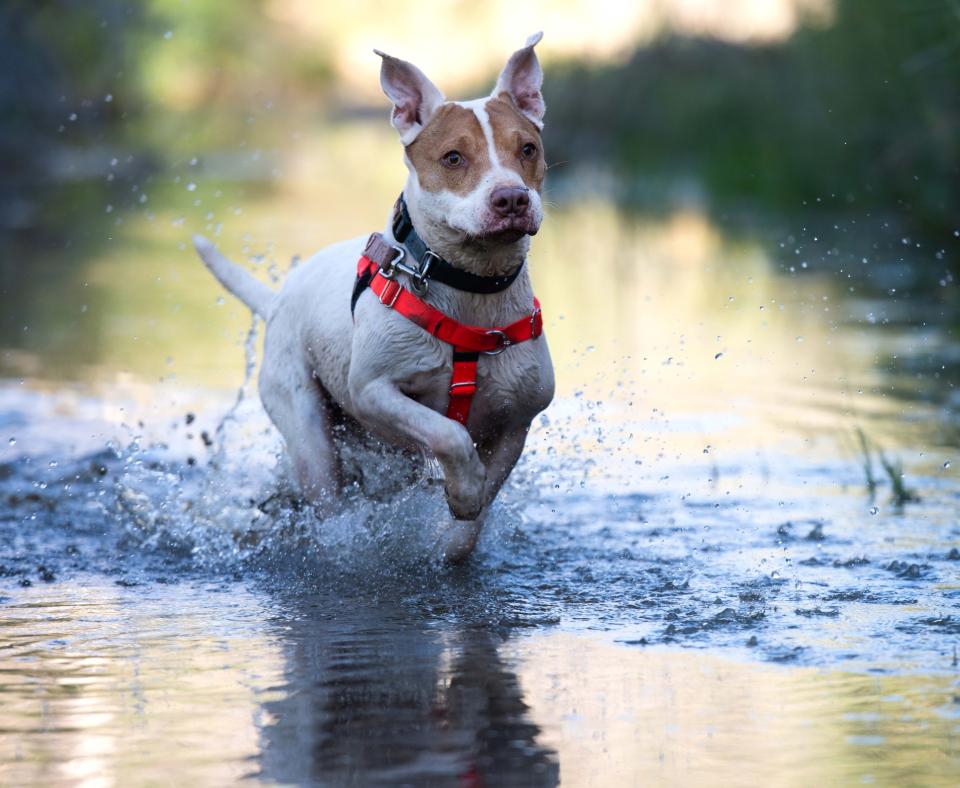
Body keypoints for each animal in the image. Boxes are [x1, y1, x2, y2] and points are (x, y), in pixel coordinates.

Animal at [193, 32, 556, 560]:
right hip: (307, 427)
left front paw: (460, 521)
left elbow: (478, 511)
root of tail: (278, 299)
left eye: (527, 148)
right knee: (326, 492)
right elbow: (448, 432)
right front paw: (464, 488)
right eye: (453, 158)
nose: (511, 198)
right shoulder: (373, 391)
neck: (470, 285)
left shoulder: (517, 421)